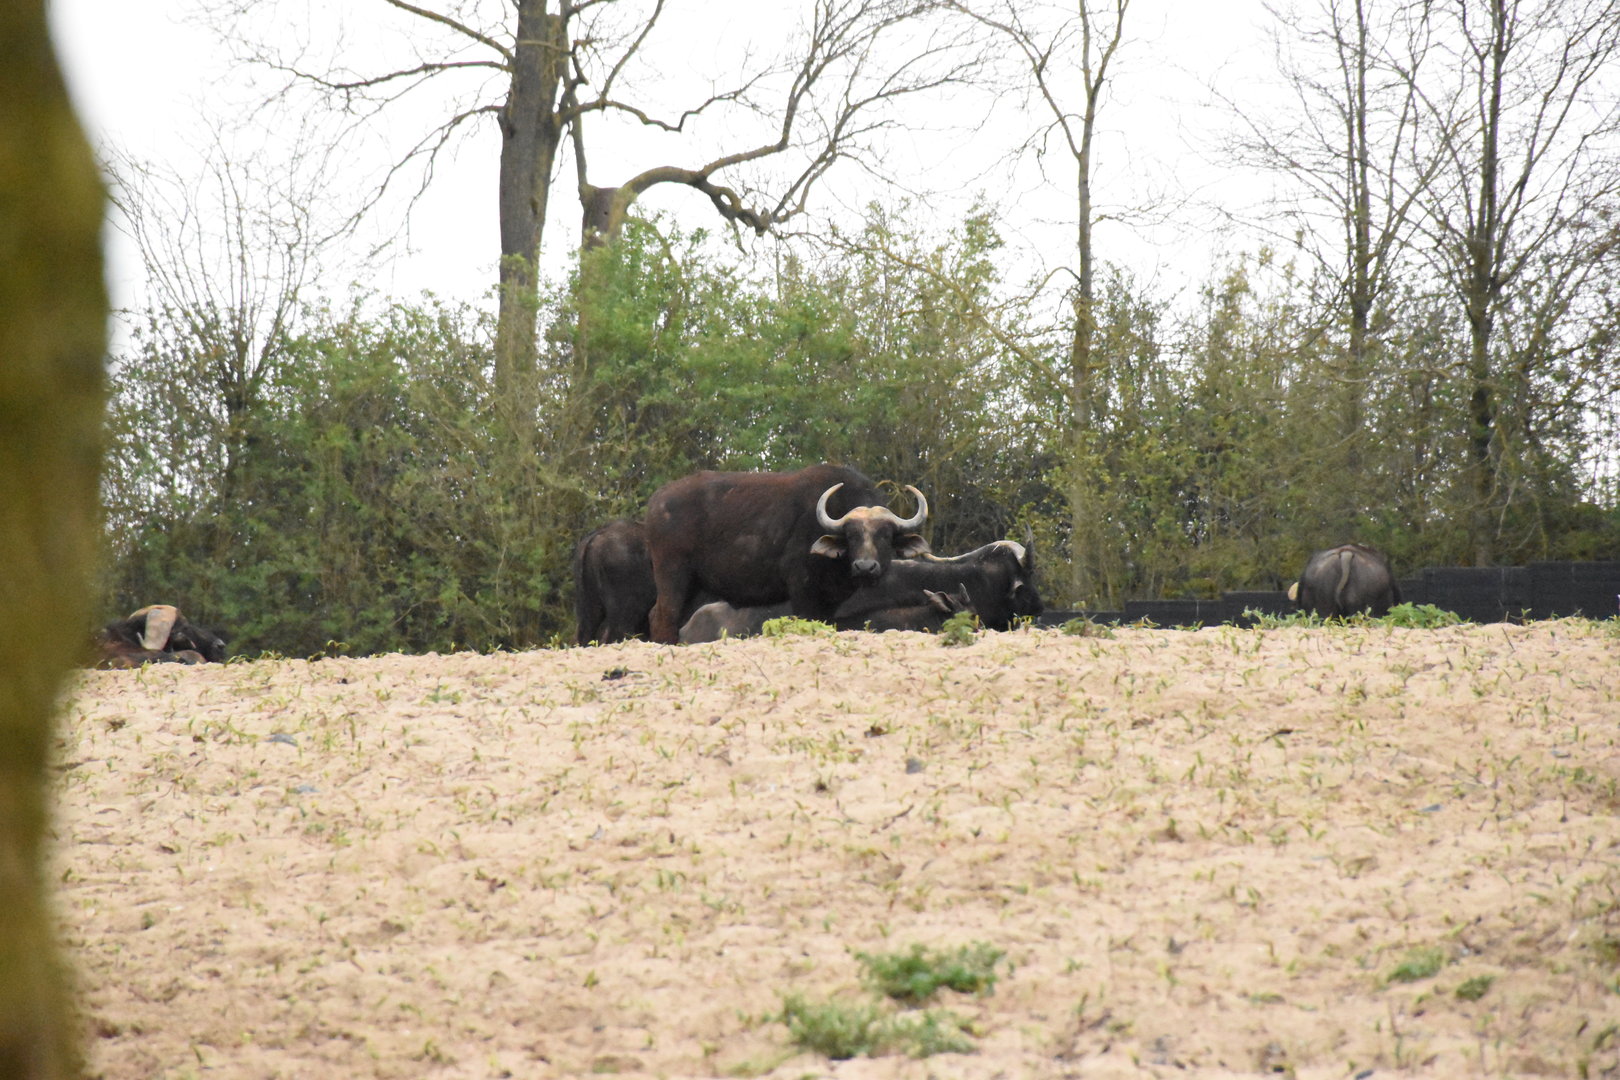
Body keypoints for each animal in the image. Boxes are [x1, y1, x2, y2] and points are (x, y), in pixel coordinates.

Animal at [643, 464, 929, 644]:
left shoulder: (829, 601)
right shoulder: (802, 589)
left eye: (885, 535)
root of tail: (656, 502)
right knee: (664, 615)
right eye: (851, 535)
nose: (865, 567)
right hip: (672, 573)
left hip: (692, 584)